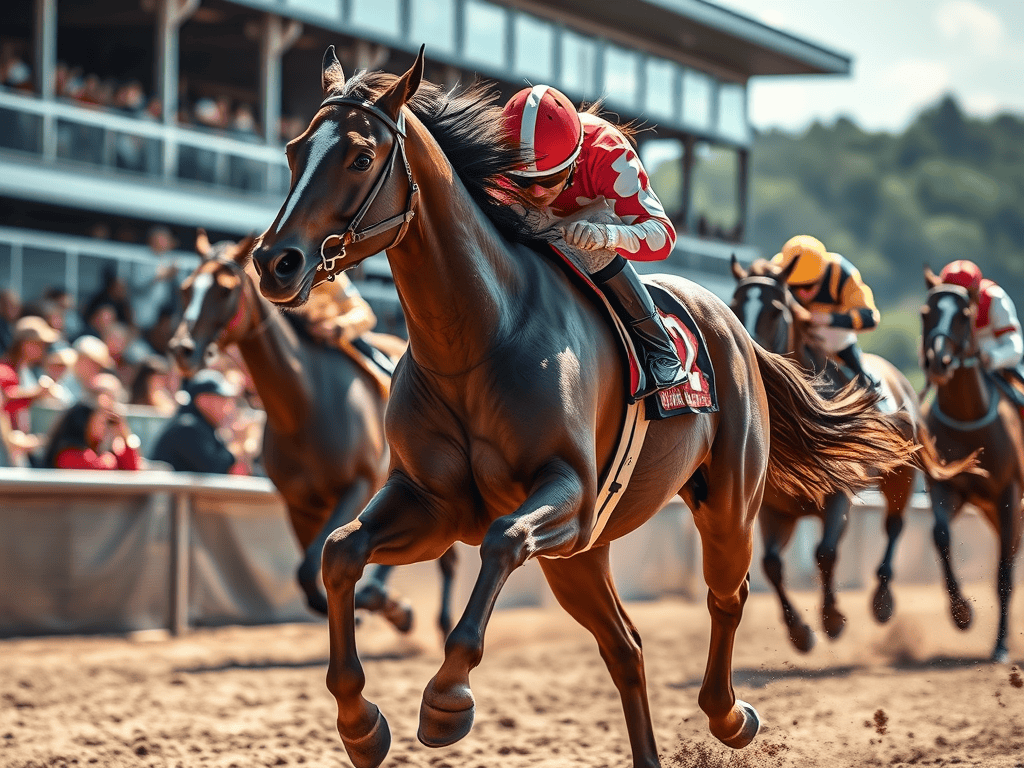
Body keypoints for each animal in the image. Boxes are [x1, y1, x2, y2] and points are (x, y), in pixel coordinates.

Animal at [168, 233, 458, 637]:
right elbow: (308, 575)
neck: (306, 406)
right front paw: (376, 606)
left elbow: (315, 567)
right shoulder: (300, 504)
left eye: (224, 289)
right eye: (185, 289)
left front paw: (383, 603)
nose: (182, 350)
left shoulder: (359, 485)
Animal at [247, 47, 921, 768]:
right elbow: (340, 552)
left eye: (359, 156)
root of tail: (736, 328)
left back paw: (730, 713)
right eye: (293, 149)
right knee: (625, 646)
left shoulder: (565, 493)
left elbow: (502, 540)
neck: (477, 339)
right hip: (581, 557)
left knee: (727, 595)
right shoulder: (433, 504)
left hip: (725, 506)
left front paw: (447, 700)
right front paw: (360, 722)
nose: (276, 261)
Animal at [729, 256, 974, 652]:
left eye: (775, 308)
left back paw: (886, 602)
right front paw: (800, 633)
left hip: (901, 477)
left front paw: (832, 619)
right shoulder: (774, 507)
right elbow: (770, 564)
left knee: (894, 526)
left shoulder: (838, 496)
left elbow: (825, 552)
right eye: (735, 304)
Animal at [920, 267, 1023, 663]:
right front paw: (962, 613)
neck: (969, 418)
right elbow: (941, 535)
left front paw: (1001, 646)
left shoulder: (1008, 494)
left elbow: (1004, 575)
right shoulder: (946, 486)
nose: (938, 361)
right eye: (926, 312)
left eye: (964, 315)